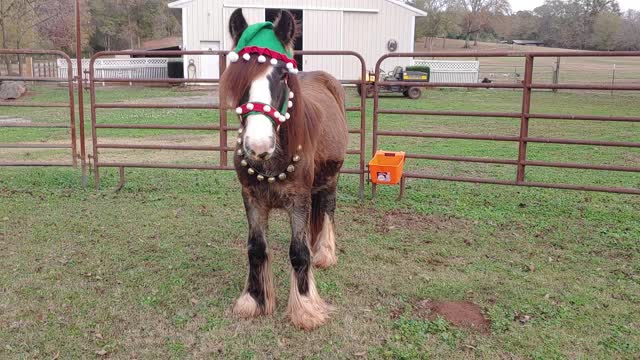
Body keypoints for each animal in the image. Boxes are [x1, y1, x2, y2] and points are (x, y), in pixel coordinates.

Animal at [219, 8, 348, 330]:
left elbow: (299, 253)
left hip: (332, 177)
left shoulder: (298, 201)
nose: (258, 144)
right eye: (237, 75)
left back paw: (324, 253)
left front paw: (305, 307)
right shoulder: (252, 198)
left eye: (282, 75)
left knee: (328, 208)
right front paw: (254, 300)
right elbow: (255, 248)